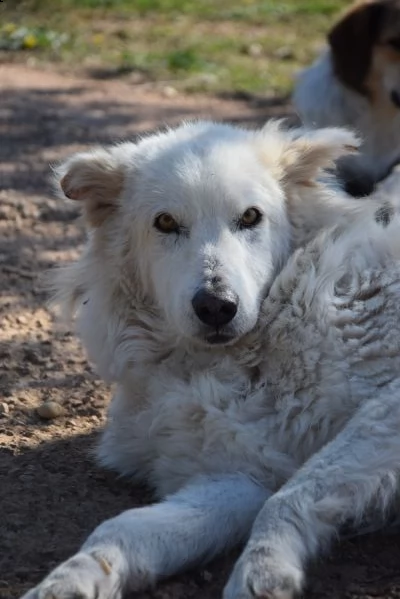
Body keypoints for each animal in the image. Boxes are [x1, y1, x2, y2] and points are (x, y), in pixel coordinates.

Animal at [23, 122, 400, 599]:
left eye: (251, 217)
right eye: (166, 223)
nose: (217, 306)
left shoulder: (387, 407)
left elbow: (294, 491)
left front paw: (263, 570)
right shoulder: (237, 476)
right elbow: (120, 529)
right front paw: (71, 579)